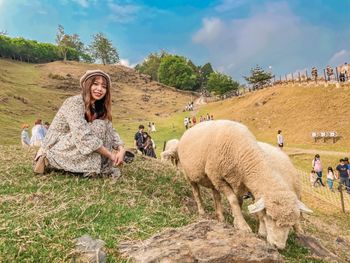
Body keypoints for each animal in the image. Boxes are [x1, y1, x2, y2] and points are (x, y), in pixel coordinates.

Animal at [178, 120, 312, 251]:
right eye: (270, 216)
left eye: (290, 224)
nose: (278, 247)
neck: (244, 153)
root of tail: (189, 130)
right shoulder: (218, 177)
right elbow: (234, 201)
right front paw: (243, 226)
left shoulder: (242, 184)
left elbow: (252, 208)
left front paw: (253, 228)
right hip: (190, 175)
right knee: (196, 192)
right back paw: (201, 211)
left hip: (212, 181)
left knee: (216, 196)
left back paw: (220, 217)